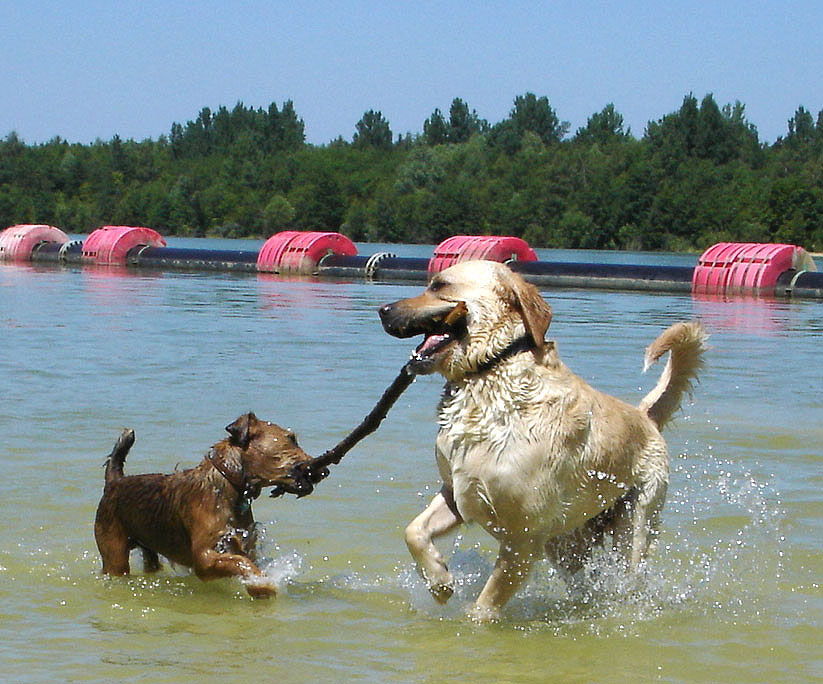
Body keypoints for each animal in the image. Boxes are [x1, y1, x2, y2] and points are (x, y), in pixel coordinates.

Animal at [93, 412, 316, 600]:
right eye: (291, 438)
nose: (317, 464)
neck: (228, 484)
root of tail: (114, 482)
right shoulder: (204, 557)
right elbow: (239, 562)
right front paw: (262, 585)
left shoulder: (244, 544)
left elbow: (245, 559)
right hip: (114, 553)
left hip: (148, 548)